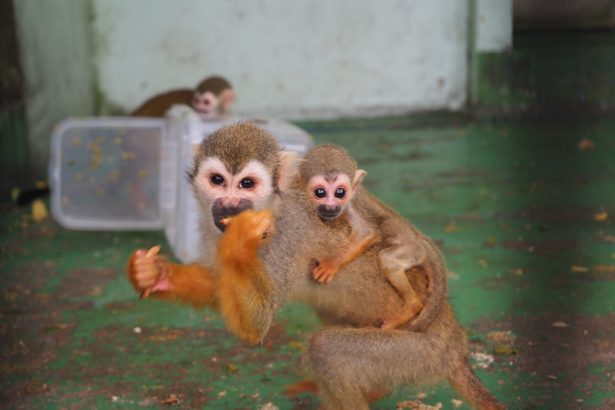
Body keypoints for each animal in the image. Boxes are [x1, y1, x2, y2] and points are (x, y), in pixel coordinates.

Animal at [302, 144, 428, 330]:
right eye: (320, 192)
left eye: (340, 192)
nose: (331, 207)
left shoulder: (350, 206)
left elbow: (367, 233)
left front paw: (332, 263)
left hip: (412, 251)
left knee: (387, 259)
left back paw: (413, 306)